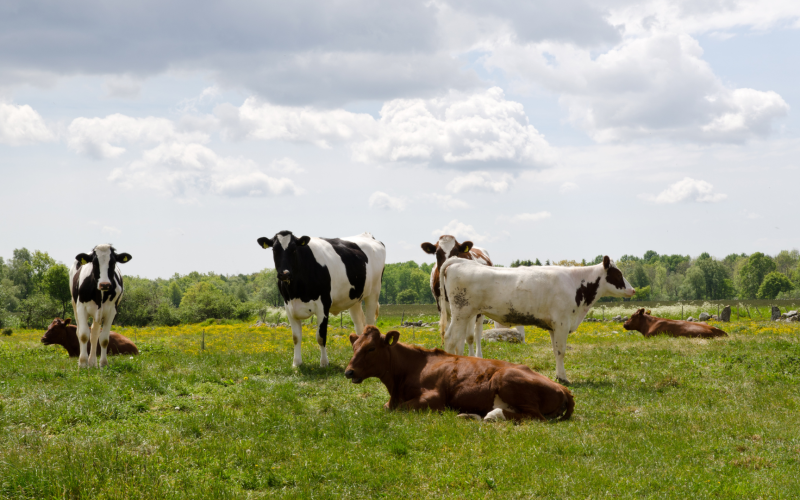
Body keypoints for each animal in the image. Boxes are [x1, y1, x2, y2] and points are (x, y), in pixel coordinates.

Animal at [257, 231, 385, 368]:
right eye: (274, 250)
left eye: (294, 249)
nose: (285, 273)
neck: (296, 291)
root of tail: (368, 235)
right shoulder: (289, 307)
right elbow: (296, 337)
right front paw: (296, 363)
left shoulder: (323, 305)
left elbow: (321, 336)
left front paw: (324, 362)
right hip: (354, 299)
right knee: (359, 325)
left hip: (374, 292)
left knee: (369, 322)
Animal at [344, 326, 574, 422]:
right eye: (354, 346)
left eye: (371, 348)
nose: (349, 371)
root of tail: (563, 387)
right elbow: (388, 408)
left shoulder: (435, 397)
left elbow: (400, 409)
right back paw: (468, 415)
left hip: (506, 379)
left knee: (534, 417)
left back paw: (492, 415)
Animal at [440, 255, 635, 384]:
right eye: (618, 274)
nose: (632, 290)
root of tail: (459, 260)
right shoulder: (562, 323)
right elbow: (561, 351)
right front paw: (564, 378)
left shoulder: (553, 326)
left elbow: (555, 350)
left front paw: (558, 376)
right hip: (462, 312)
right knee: (451, 339)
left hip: (464, 315)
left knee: (458, 340)